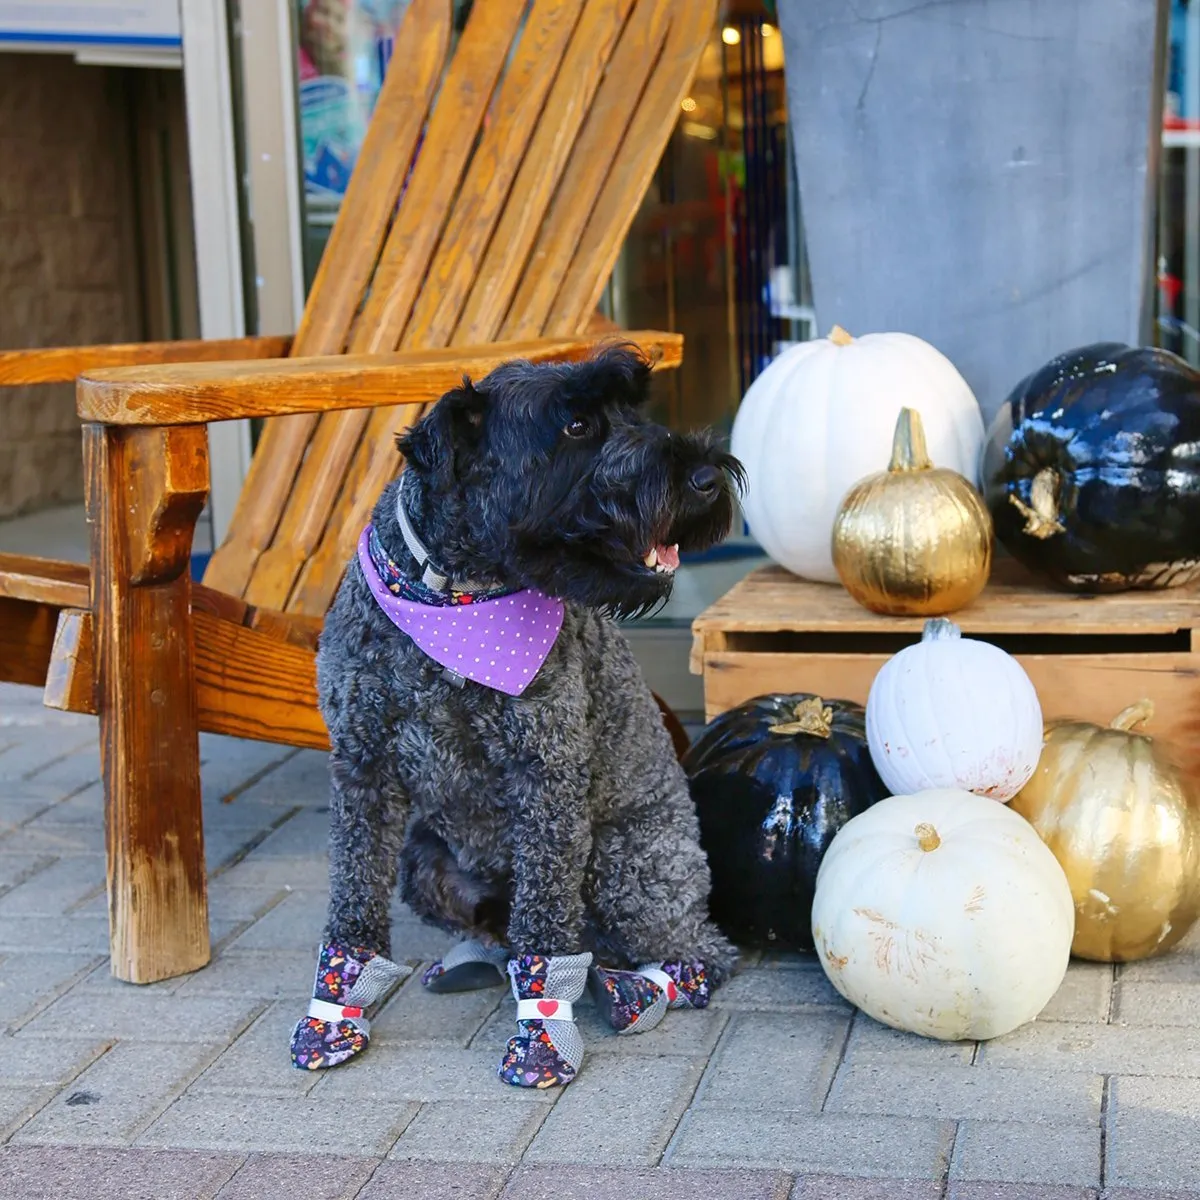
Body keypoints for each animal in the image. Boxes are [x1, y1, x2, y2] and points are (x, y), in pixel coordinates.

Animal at [290, 345, 739, 1089]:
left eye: (631, 409)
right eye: (578, 424)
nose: (707, 477)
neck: (453, 600)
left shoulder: (546, 775)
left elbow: (545, 921)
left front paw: (542, 1037)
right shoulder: (362, 768)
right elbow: (352, 898)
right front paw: (333, 1014)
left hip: (626, 866)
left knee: (696, 951)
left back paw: (634, 989)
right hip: (423, 858)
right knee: (496, 931)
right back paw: (476, 959)